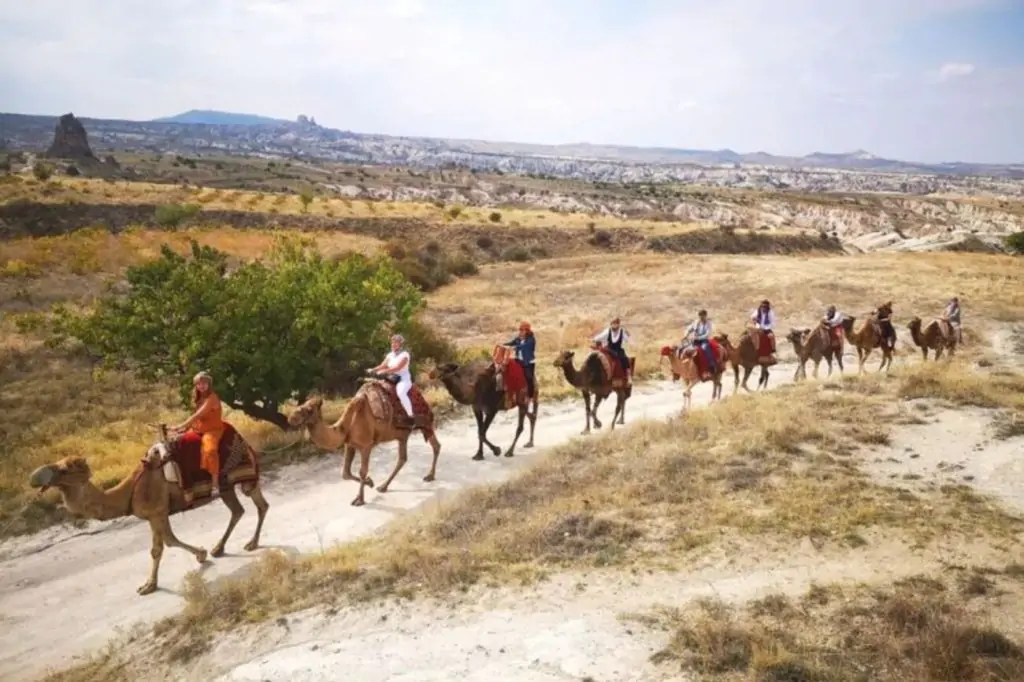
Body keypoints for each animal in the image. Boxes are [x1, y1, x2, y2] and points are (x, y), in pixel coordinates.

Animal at [27, 421, 268, 593]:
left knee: (255, 504)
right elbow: (166, 542)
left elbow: (161, 546)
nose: (35, 479)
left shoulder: (157, 512)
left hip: (241, 476)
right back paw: (222, 547)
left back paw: (249, 544)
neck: (131, 490)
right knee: (242, 509)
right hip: (228, 485)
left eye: (64, 470)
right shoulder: (154, 515)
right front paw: (201, 554)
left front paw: (149, 585)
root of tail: (243, 440)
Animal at [286, 382, 442, 503]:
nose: (291, 418)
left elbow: (362, 471)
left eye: (308, 410)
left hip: (425, 424)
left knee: (433, 445)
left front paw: (360, 499)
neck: (347, 426)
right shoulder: (349, 444)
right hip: (402, 435)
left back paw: (428, 476)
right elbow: (345, 473)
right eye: (302, 405)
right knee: (405, 457)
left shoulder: (366, 446)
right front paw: (370, 482)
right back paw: (384, 486)